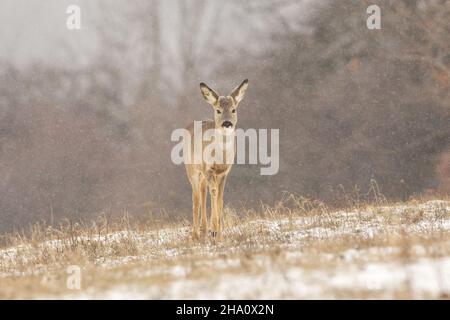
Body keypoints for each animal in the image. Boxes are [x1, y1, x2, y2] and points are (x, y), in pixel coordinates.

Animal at [185, 79, 250, 240]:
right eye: (218, 110)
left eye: (234, 109)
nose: (227, 123)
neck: (221, 157)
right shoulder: (209, 169)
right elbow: (213, 193)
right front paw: (214, 230)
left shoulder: (224, 172)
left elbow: (220, 198)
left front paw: (219, 234)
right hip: (192, 169)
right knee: (196, 198)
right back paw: (195, 234)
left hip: (202, 174)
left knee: (202, 194)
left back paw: (203, 231)